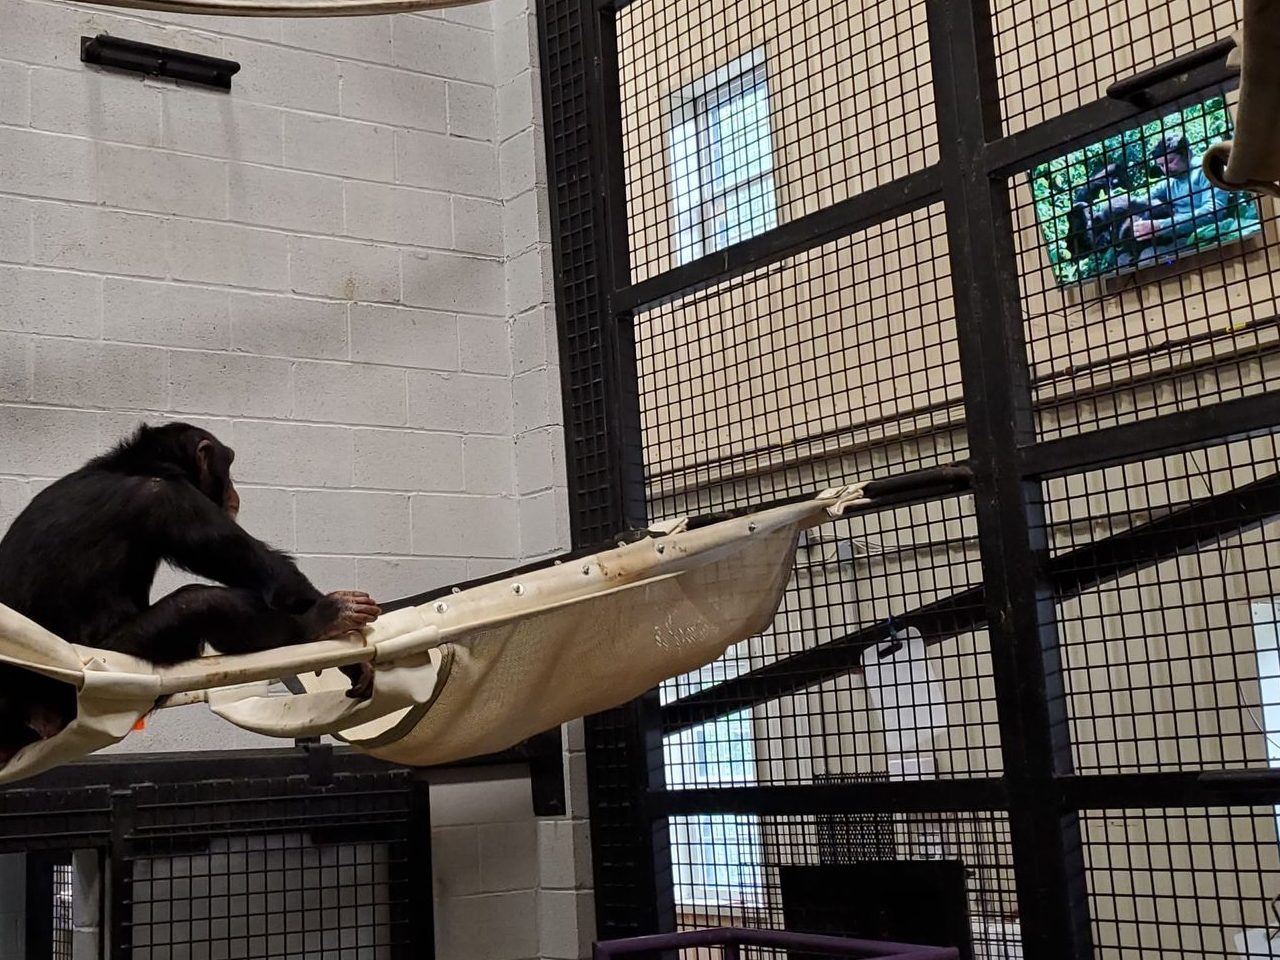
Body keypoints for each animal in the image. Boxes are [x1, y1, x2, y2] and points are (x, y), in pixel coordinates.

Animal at [0, 424, 381, 762]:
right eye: (228, 465)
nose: (234, 490)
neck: (135, 466)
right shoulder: (173, 500)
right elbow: (271, 573)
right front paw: (341, 643)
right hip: (108, 669)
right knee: (200, 602)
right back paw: (318, 624)